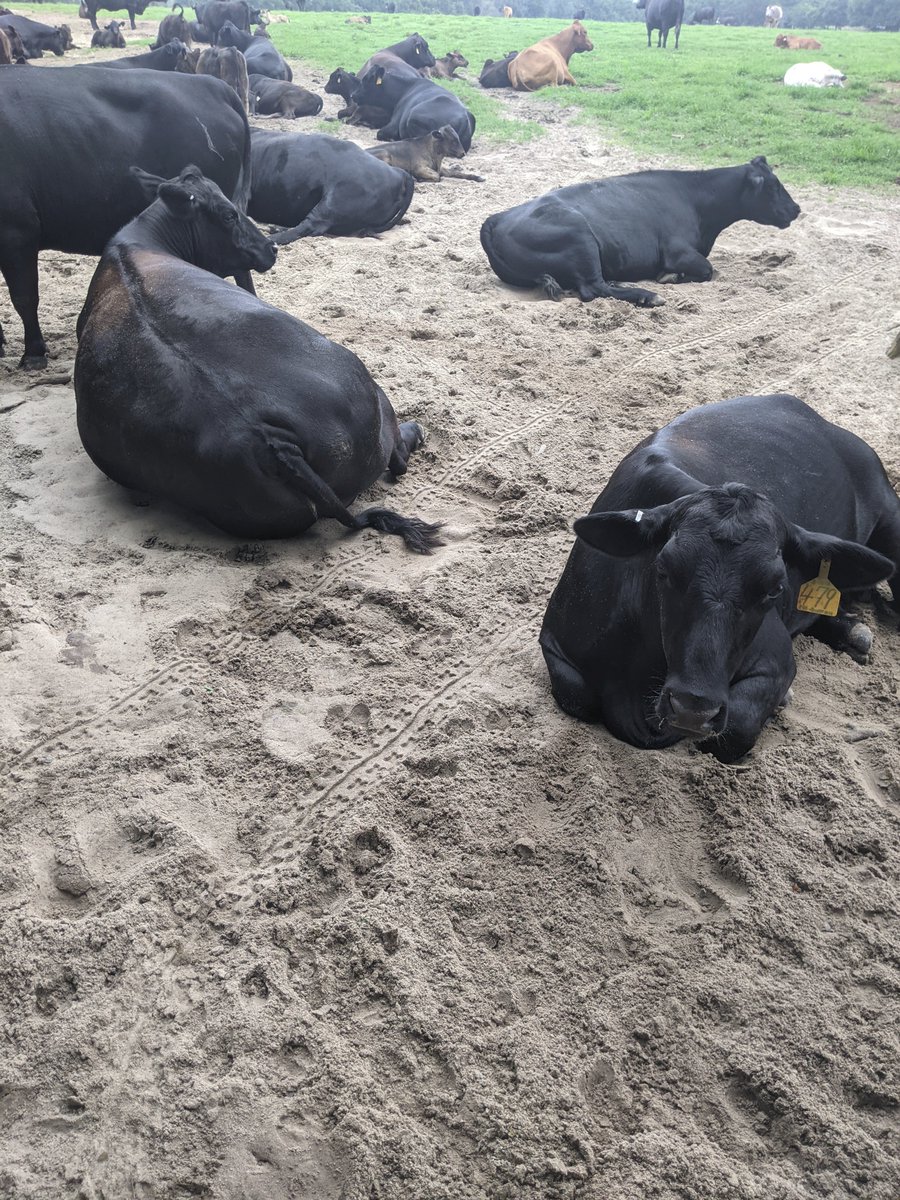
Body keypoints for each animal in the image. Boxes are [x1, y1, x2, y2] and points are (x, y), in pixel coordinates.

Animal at [75, 166, 441, 553]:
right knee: (397, 457)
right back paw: (416, 431)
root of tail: (270, 437)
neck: (137, 243)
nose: (271, 247)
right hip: (371, 393)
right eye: (229, 214)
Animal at [480, 156, 800, 306]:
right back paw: (647, 295)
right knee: (593, 288)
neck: (694, 198)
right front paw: (669, 278)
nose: (796, 209)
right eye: (773, 186)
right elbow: (708, 270)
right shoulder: (677, 252)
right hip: (580, 237)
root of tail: (496, 218)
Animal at [540, 394, 900, 763]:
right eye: (663, 569)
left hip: (890, 510)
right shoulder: (556, 642)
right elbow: (577, 694)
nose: (692, 708)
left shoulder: (776, 658)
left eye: (774, 589)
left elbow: (735, 730)